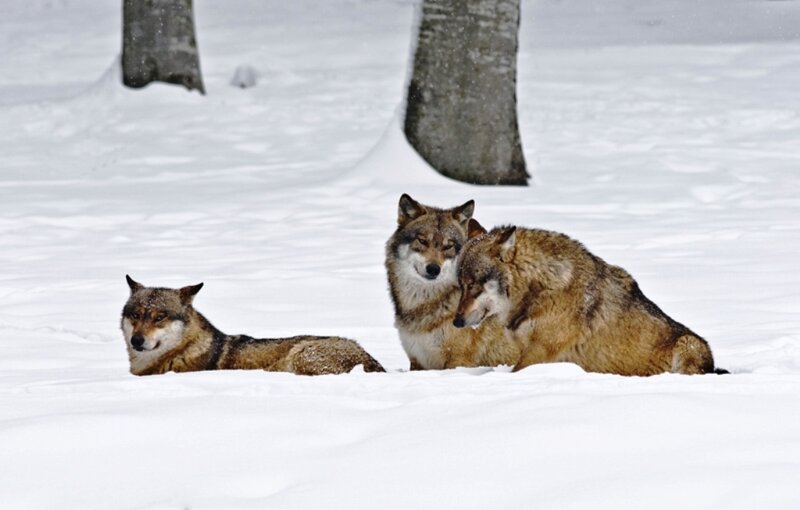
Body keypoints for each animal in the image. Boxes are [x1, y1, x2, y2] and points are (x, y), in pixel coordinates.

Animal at [453, 220, 726, 376]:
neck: (540, 288)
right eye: (460, 285)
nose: (456, 322)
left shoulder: (538, 354)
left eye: (473, 285)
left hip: (689, 343)